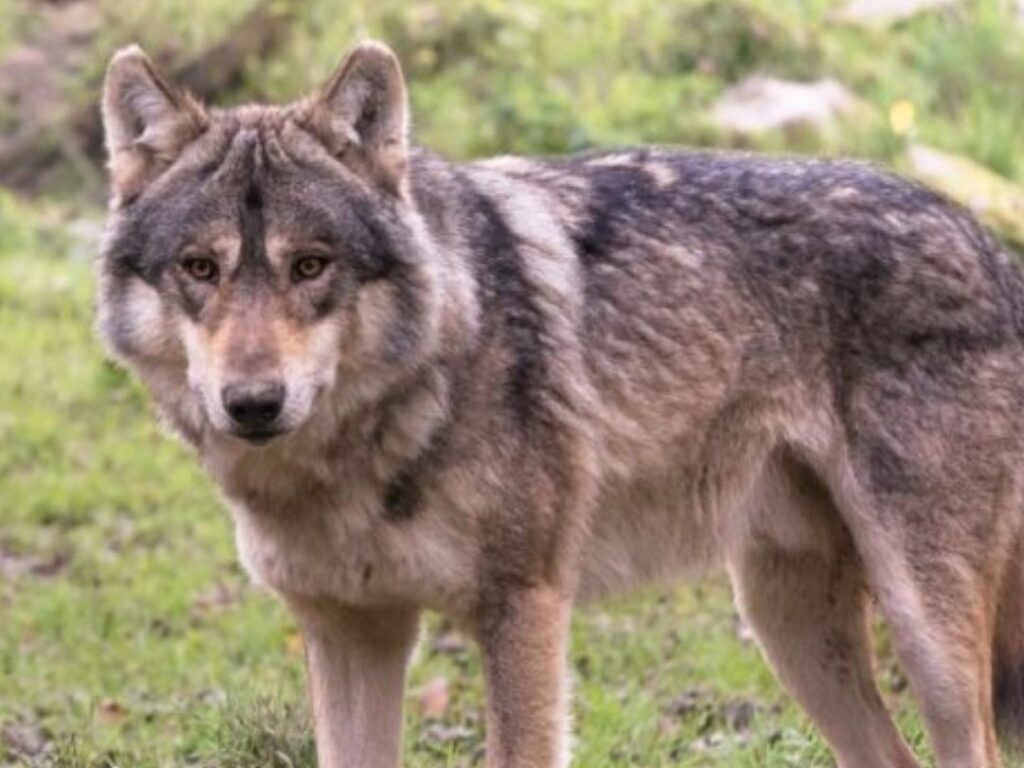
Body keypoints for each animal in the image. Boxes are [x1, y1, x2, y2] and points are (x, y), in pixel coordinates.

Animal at [96, 39, 1024, 768]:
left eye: (311, 266)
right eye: (200, 268)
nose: (253, 403)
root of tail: (988, 241)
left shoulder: (525, 606)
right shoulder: (351, 632)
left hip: (922, 633)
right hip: (783, 621)